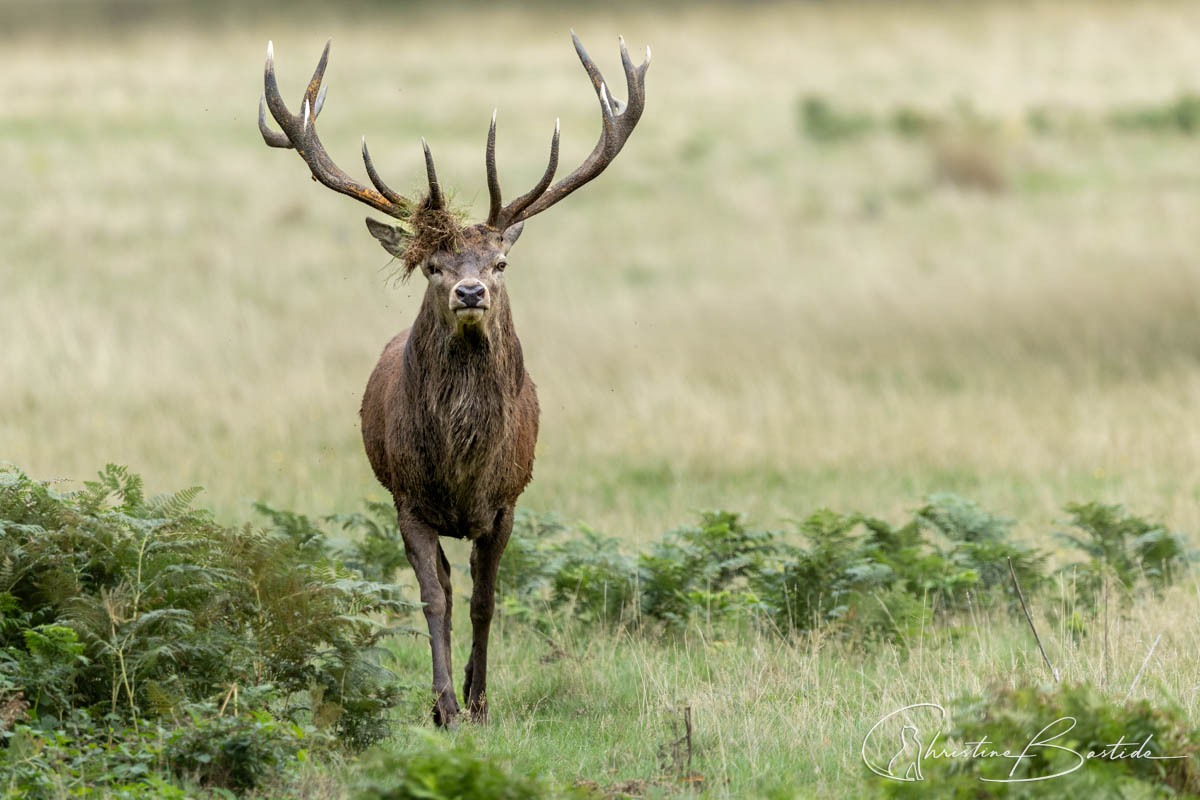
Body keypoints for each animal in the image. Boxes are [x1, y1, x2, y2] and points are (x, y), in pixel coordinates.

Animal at [258, 32, 649, 727]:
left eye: (500, 261)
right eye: (433, 265)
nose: (470, 292)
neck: (463, 466)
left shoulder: (506, 503)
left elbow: (485, 601)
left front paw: (481, 700)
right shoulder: (408, 499)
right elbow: (433, 598)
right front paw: (444, 705)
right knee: (439, 581)